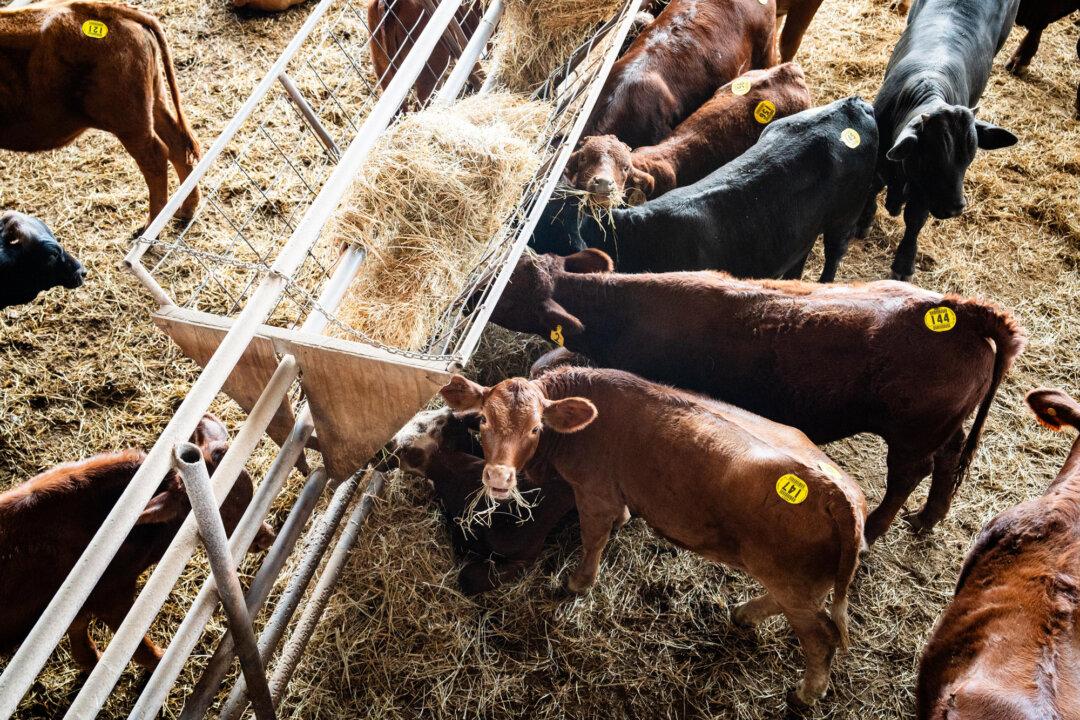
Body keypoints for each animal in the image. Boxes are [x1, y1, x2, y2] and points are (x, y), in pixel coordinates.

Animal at [0, 1, 202, 229]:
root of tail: (105, 9)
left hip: (130, 124)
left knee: (156, 158)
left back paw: (152, 224)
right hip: (155, 102)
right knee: (177, 145)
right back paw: (186, 210)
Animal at [0, 415, 276, 670]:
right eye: (217, 513)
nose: (267, 537)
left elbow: (79, 632)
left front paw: (90, 660)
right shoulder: (112, 599)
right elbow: (138, 648)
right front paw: (160, 661)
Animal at [439, 367, 866, 707]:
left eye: (535, 428)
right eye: (482, 421)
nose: (498, 478)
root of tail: (839, 493)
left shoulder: (593, 492)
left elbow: (593, 538)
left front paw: (579, 583)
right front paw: (623, 523)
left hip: (793, 582)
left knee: (820, 637)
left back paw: (806, 692)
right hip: (800, 584)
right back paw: (743, 614)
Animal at [490, 249, 1027, 543]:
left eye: (509, 292)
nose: (478, 289)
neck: (625, 311)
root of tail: (959, 308)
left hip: (911, 436)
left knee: (907, 476)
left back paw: (876, 529)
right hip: (944, 427)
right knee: (948, 460)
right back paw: (928, 518)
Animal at [856, 0, 1020, 281]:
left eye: (969, 158)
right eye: (930, 158)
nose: (955, 208)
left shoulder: (925, 192)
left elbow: (915, 219)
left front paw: (904, 262)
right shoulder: (879, 159)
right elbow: (873, 187)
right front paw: (864, 222)